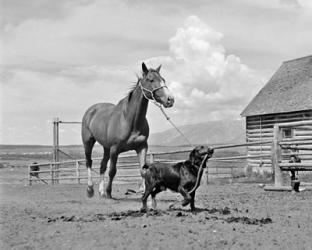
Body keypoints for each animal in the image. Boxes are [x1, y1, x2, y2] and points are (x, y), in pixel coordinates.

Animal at [81, 63, 174, 199]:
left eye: (163, 79)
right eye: (151, 80)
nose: (170, 99)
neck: (129, 120)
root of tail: (91, 110)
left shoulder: (141, 147)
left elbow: (143, 170)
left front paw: (143, 191)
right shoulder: (115, 149)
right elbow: (112, 171)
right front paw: (109, 192)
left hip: (106, 147)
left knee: (102, 166)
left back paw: (101, 191)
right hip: (88, 142)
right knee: (89, 162)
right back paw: (90, 190)